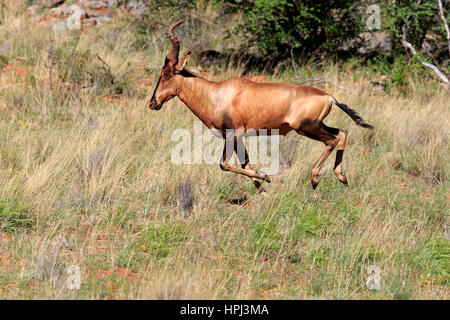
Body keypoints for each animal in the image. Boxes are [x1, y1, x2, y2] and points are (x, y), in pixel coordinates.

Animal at [149, 20, 372, 195]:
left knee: (333, 139)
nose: (153, 103)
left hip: (306, 128)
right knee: (342, 132)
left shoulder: (234, 133)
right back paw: (341, 177)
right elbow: (244, 162)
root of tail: (330, 97)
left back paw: (315, 178)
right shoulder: (237, 137)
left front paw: (266, 176)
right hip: (316, 125)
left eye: (167, 73)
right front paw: (264, 191)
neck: (218, 93)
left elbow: (224, 164)